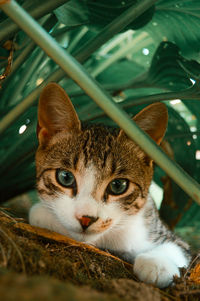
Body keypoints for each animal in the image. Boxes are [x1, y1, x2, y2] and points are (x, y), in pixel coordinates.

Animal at [29, 82, 191, 288]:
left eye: (118, 186)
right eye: (65, 177)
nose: (86, 219)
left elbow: (178, 247)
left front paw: (157, 263)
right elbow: (38, 213)